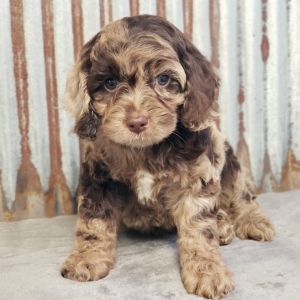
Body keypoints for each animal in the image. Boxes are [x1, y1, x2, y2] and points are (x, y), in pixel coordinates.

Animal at [61, 15, 274, 298]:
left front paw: (207, 271)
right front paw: (87, 258)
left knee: (242, 194)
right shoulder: (98, 179)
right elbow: (93, 222)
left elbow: (198, 228)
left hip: (227, 157)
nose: (137, 122)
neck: (144, 150)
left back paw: (247, 222)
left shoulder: (197, 177)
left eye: (163, 80)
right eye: (110, 83)